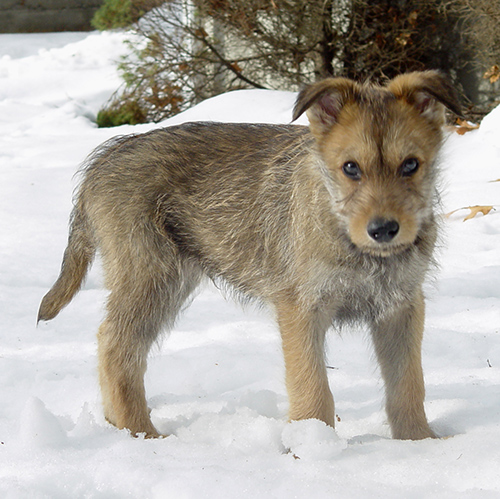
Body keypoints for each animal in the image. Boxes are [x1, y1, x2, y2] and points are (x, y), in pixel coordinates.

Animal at [38, 71, 460, 442]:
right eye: (351, 168)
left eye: (411, 165)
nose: (384, 229)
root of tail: (104, 158)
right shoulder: (302, 309)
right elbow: (312, 386)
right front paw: (310, 445)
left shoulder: (401, 308)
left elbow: (408, 384)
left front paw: (418, 443)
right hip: (152, 276)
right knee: (116, 346)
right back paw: (140, 434)